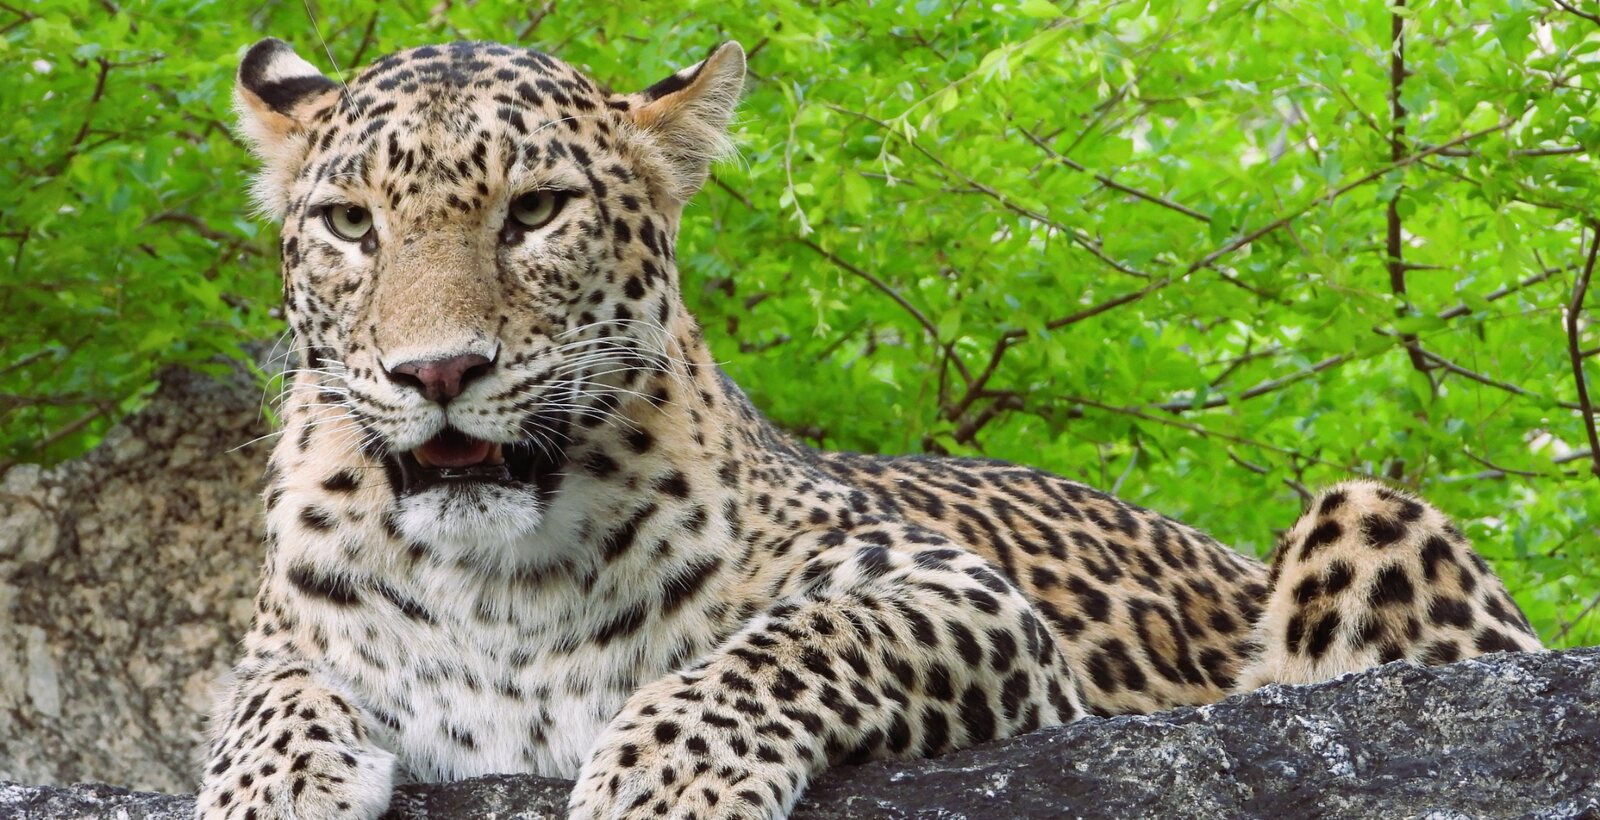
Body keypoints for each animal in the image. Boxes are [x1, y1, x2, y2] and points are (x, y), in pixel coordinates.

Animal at [198, 34, 1545, 820]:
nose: (435, 370)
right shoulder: (282, 636)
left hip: (1369, 511)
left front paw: (667, 774)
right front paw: (275, 785)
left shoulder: (962, 598)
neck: (498, 580)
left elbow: (789, 643)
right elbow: (262, 688)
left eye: (534, 212)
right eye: (352, 225)